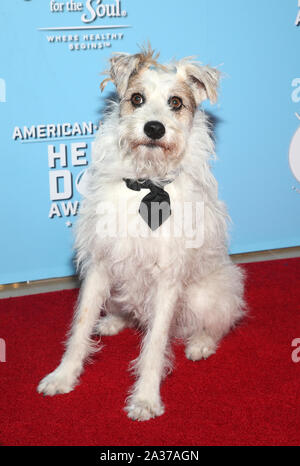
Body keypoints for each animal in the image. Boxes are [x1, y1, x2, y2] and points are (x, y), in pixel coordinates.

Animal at [37, 45, 245, 420]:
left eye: (176, 102)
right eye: (137, 98)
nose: (154, 128)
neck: (146, 183)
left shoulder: (168, 280)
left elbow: (156, 343)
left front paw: (146, 398)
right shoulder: (100, 264)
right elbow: (80, 325)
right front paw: (64, 375)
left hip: (207, 294)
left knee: (221, 319)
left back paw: (201, 342)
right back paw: (114, 320)